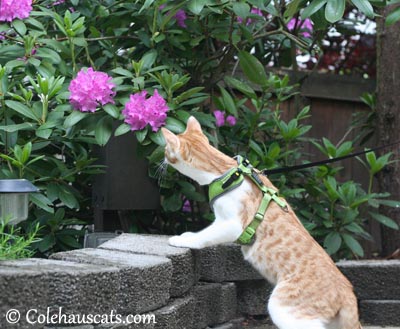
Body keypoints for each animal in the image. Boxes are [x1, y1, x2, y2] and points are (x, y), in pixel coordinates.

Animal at [161, 117, 360, 328]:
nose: (162, 160)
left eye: (166, 150)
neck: (225, 173)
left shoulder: (231, 225)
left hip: (284, 309)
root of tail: (347, 291)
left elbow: (205, 235)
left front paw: (183, 239)